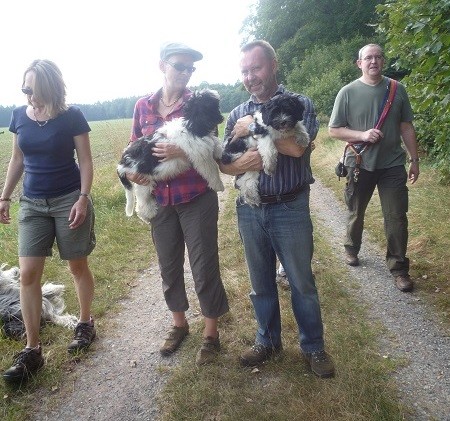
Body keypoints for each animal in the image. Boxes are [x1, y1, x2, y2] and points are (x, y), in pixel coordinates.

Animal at [117, 89, 225, 223]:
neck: (190, 125)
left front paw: (220, 150)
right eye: (213, 107)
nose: (222, 118)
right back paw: (148, 216)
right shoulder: (201, 156)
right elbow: (212, 170)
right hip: (143, 181)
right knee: (141, 204)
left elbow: (214, 141)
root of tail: (122, 162)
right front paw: (218, 185)